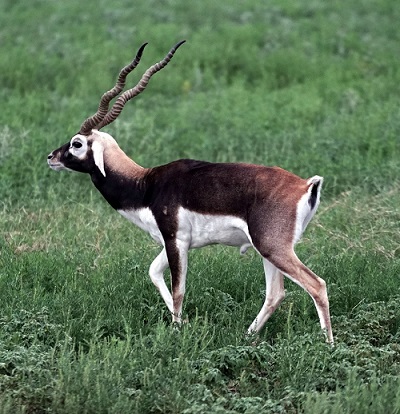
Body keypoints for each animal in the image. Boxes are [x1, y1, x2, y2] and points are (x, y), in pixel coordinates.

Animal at [47, 39, 334, 342]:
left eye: (77, 143)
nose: (51, 157)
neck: (146, 185)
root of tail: (306, 184)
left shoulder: (177, 240)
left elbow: (178, 290)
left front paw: (175, 332)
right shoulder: (170, 241)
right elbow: (153, 273)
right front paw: (182, 324)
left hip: (273, 248)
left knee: (316, 285)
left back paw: (328, 345)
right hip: (268, 250)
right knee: (275, 293)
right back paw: (246, 337)